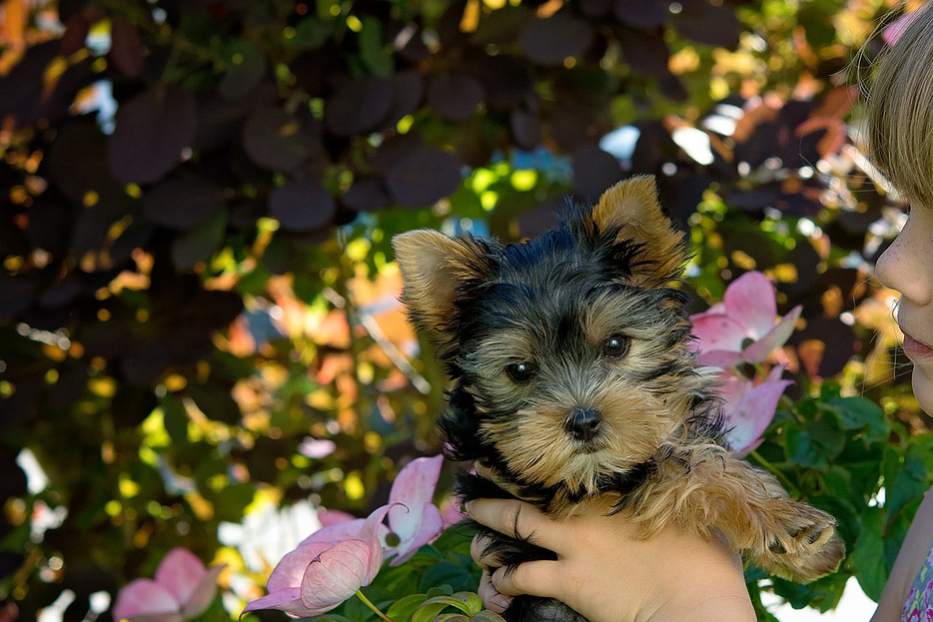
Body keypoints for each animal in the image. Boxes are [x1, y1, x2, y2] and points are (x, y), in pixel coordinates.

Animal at [392, 177, 844, 622]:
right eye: (519, 371)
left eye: (615, 345)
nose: (584, 421)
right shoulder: (548, 484)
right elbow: (682, 469)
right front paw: (786, 524)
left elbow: (695, 454)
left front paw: (794, 537)